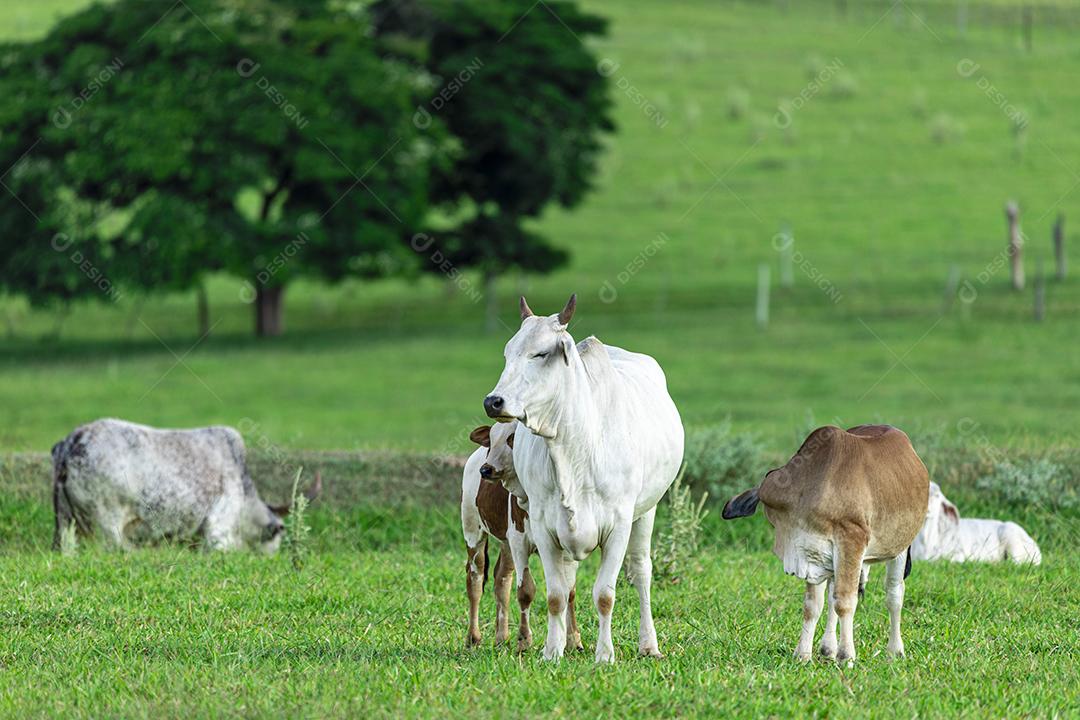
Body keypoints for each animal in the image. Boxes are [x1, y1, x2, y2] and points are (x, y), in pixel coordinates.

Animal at [483, 293, 682, 664]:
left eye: (540, 353)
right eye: (507, 353)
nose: (493, 401)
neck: (574, 450)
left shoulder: (619, 525)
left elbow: (605, 594)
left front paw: (605, 654)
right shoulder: (544, 526)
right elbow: (555, 595)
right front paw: (552, 651)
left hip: (647, 511)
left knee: (642, 572)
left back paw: (649, 644)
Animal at [725, 425, 928, 669]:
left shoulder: (851, 540)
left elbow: (845, 603)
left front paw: (846, 656)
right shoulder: (811, 554)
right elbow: (813, 606)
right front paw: (803, 654)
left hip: (899, 548)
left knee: (894, 596)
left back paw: (895, 651)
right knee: (832, 597)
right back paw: (828, 649)